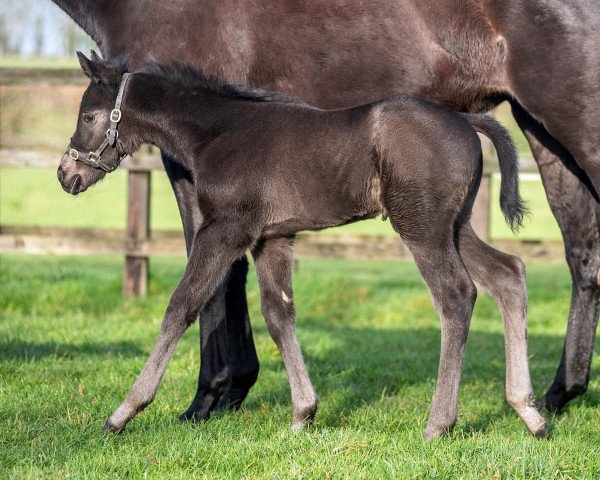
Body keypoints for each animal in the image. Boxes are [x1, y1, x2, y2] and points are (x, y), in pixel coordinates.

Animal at [51, 0, 600, 418]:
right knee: (511, 274)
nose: (66, 174)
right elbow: (279, 313)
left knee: (457, 295)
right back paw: (532, 409)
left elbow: (183, 304)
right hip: (456, 222)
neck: (222, 130)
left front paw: (133, 410)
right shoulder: (272, 237)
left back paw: (441, 423)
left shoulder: (226, 229)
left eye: (90, 115)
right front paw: (302, 412)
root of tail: (467, 123)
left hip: (424, 226)